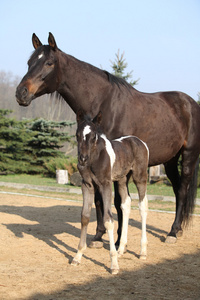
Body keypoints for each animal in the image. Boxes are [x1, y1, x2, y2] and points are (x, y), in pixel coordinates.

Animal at [71, 110, 148, 274]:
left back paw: (142, 252)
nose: (82, 159)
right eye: (77, 134)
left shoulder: (105, 185)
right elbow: (85, 217)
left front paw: (114, 264)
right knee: (126, 204)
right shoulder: (87, 185)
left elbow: (108, 219)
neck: (95, 158)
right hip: (122, 179)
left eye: (94, 136)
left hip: (140, 178)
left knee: (142, 206)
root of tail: (140, 142)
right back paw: (121, 249)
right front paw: (78, 256)